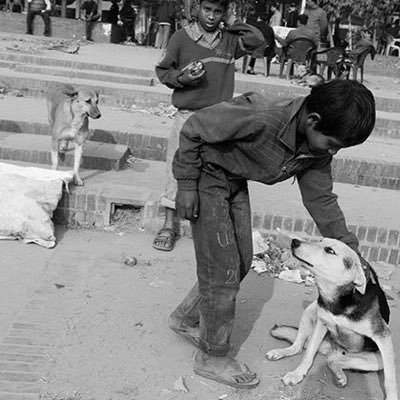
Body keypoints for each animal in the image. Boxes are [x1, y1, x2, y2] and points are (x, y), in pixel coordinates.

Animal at [266, 238, 396, 400]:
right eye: (320, 240)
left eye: (329, 250)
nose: (295, 241)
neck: (339, 301)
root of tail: (332, 349)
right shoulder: (322, 323)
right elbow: (308, 355)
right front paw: (297, 374)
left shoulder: (383, 336)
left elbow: (390, 379)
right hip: (309, 312)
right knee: (298, 347)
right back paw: (281, 352)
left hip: (376, 361)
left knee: (333, 361)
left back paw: (340, 376)